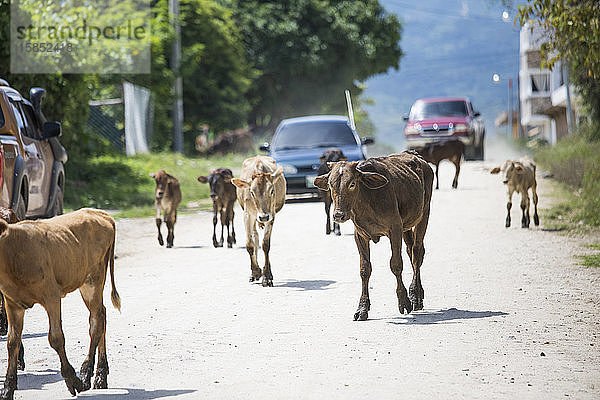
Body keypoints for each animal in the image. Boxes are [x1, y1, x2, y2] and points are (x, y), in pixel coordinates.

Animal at [0, 209, 120, 400]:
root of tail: (99, 213)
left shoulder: (51, 295)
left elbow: (56, 338)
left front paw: (73, 380)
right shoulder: (12, 303)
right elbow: (12, 342)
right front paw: (7, 389)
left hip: (93, 280)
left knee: (97, 322)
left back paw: (86, 374)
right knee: (101, 314)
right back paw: (101, 376)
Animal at [312, 152, 434, 320]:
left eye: (352, 184)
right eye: (330, 185)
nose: (338, 215)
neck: (367, 199)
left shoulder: (395, 229)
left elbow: (396, 264)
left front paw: (404, 301)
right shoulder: (360, 235)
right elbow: (365, 269)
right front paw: (362, 308)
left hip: (424, 214)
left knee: (417, 253)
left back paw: (415, 295)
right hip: (407, 226)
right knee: (411, 251)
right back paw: (417, 293)